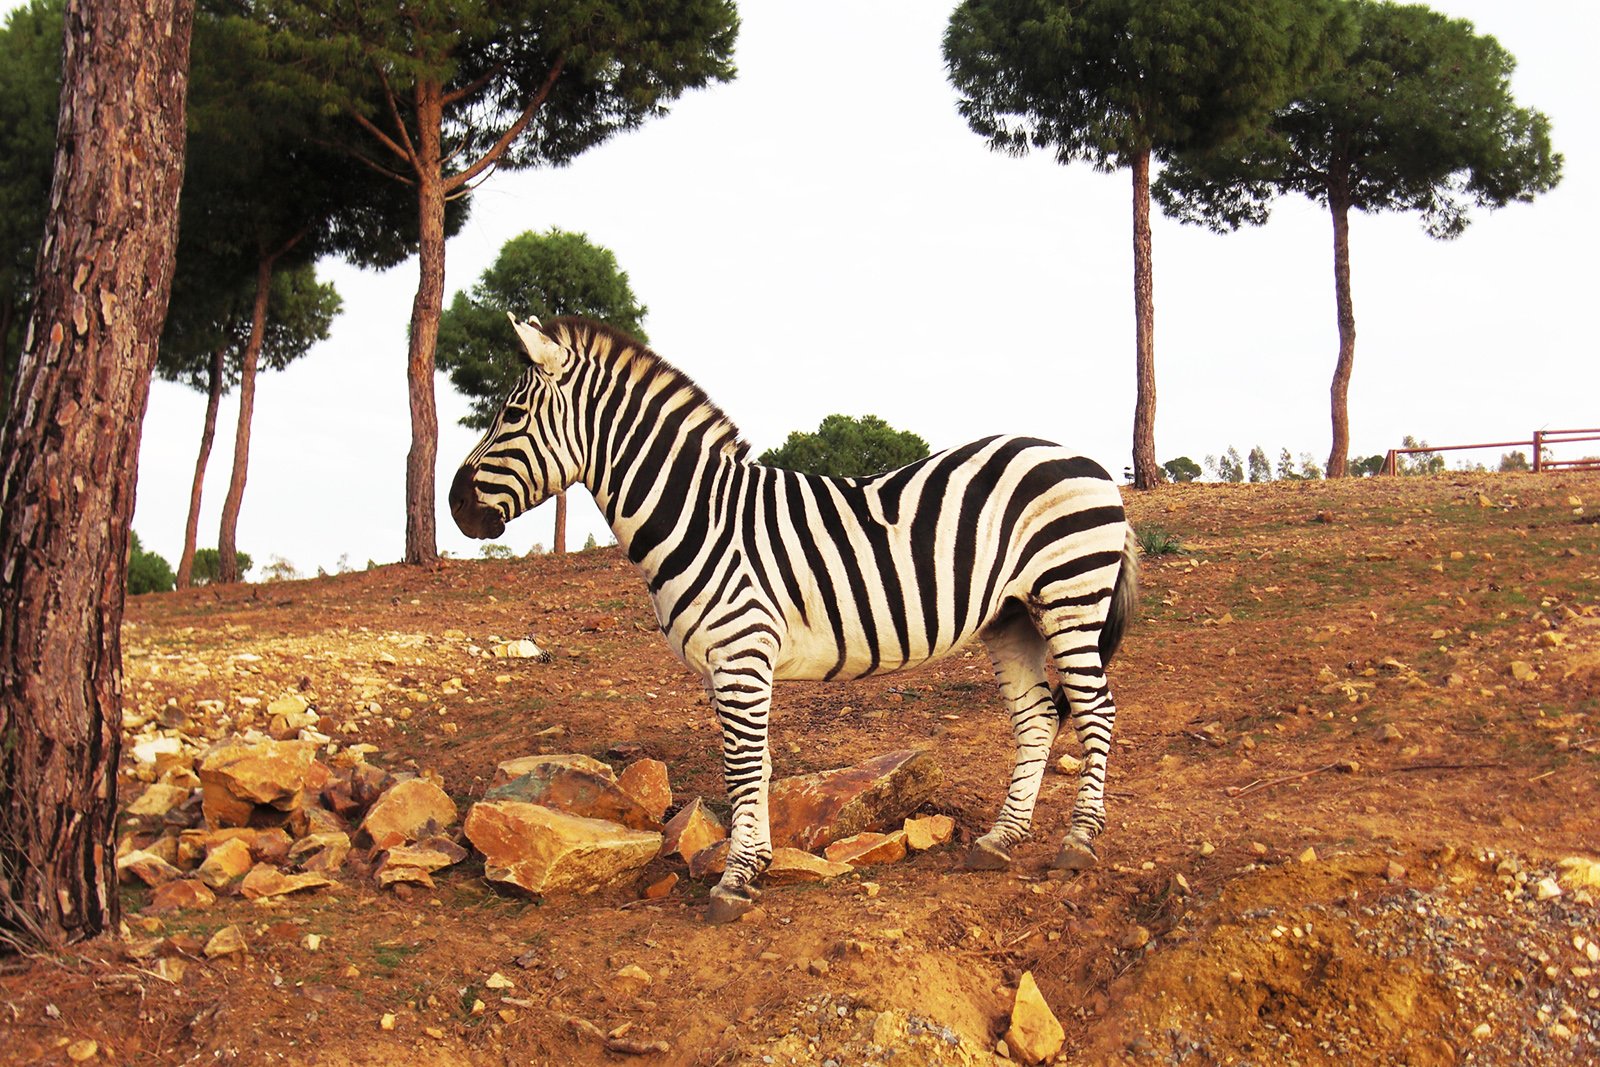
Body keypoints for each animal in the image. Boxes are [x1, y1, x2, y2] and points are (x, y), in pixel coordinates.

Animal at [451, 313, 1139, 921]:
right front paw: (753, 863)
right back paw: (1002, 838)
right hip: (1012, 616)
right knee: (1039, 716)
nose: (456, 508)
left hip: (1071, 594)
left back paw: (1079, 841)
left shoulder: (741, 652)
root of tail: (1085, 460)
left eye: (511, 414)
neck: (701, 515)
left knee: (1096, 710)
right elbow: (754, 764)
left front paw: (734, 881)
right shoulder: (730, 663)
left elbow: (742, 767)